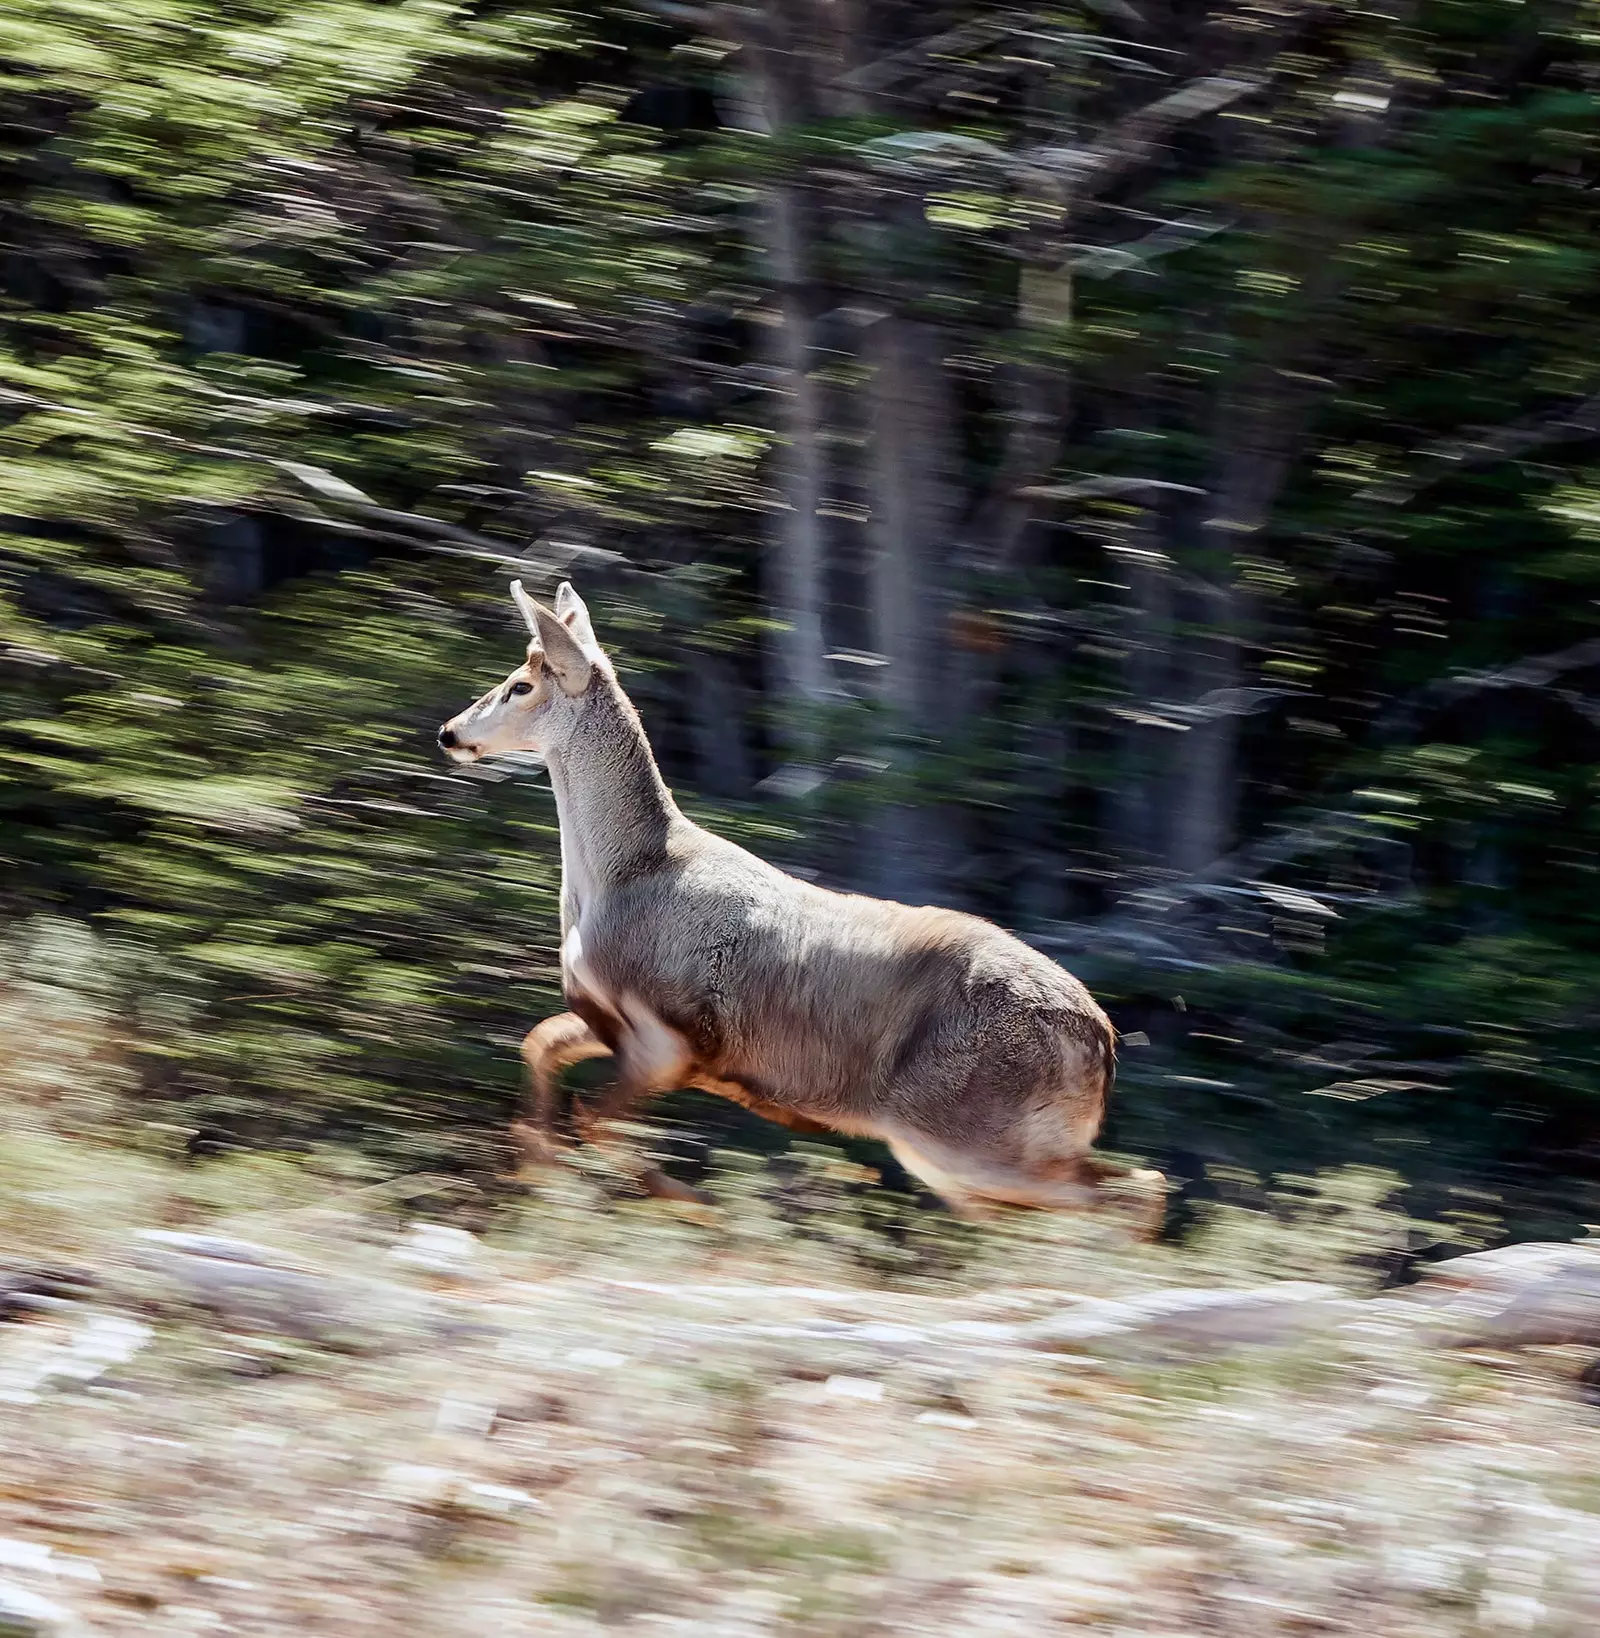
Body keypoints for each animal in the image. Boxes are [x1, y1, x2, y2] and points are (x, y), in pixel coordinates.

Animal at [435, 583, 1159, 1225]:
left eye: (522, 685)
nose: (449, 732)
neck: (621, 876)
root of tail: (1101, 1037)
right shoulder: (615, 1023)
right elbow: (540, 1047)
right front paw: (537, 1169)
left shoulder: (670, 1038)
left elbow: (594, 1122)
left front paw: (693, 1207)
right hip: (981, 1145)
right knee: (1098, 1194)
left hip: (962, 1127)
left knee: (1134, 1194)